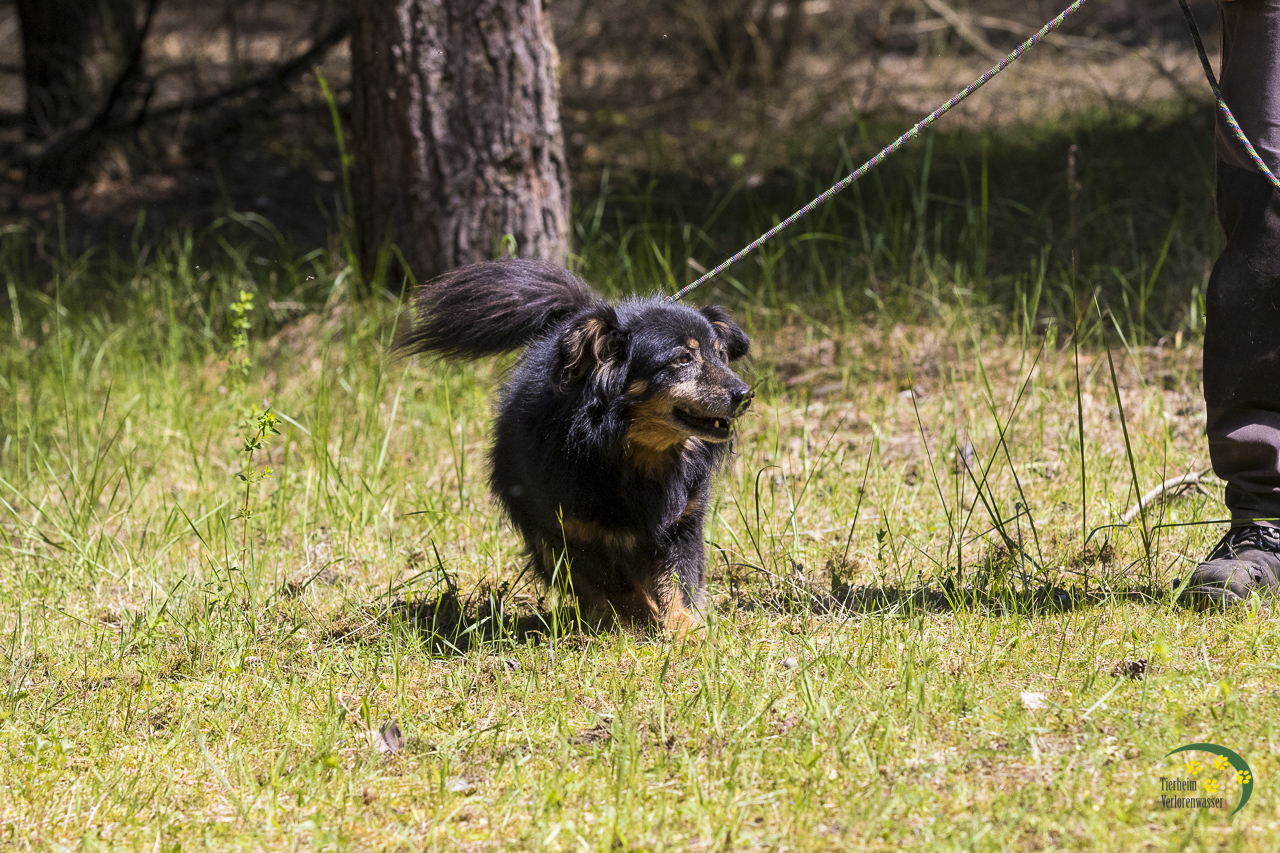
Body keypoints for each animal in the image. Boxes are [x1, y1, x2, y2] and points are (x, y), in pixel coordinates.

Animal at [398, 259, 752, 631]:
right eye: (682, 359)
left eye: (721, 355)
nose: (746, 395)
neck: (630, 451)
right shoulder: (567, 531)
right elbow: (616, 586)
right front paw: (641, 619)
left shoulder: (682, 520)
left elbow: (678, 579)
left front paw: (686, 630)